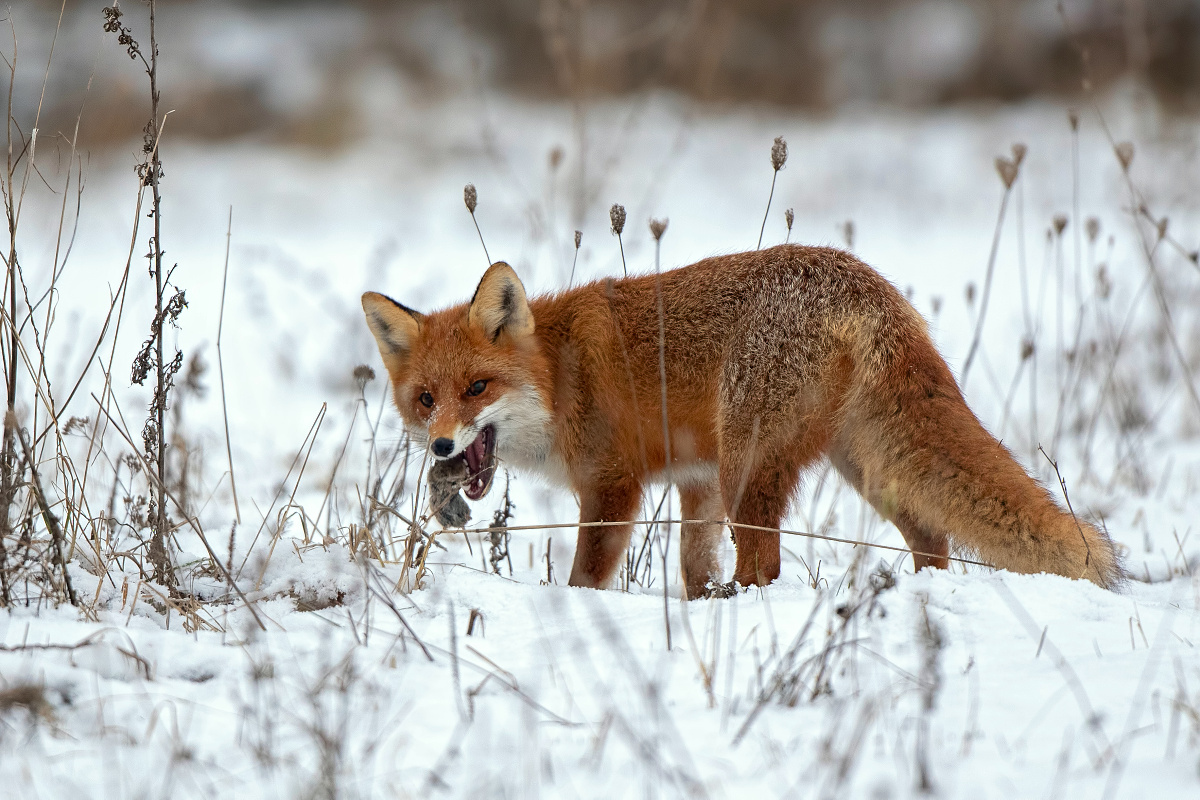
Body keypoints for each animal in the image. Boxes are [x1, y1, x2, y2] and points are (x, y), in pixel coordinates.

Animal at [362, 247, 1123, 597]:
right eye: (426, 398)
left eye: (478, 388)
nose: (442, 446)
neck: (558, 374)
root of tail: (869, 283)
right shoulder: (695, 481)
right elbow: (693, 564)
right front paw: (697, 605)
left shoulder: (613, 486)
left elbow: (586, 577)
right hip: (860, 467)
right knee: (931, 537)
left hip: (751, 467)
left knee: (768, 565)